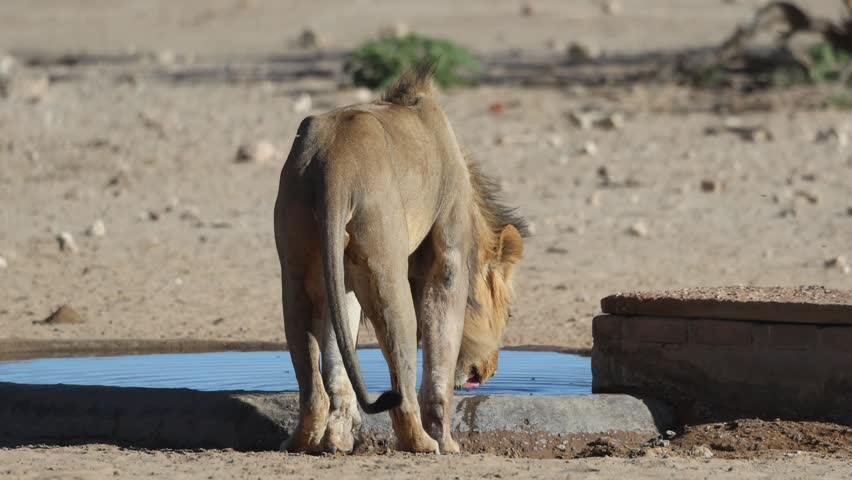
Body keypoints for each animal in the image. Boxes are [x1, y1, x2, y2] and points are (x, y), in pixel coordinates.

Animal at [273, 63, 528, 454]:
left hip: (298, 258)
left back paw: (302, 439)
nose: (486, 373)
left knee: (313, 383)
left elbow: (337, 356)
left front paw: (338, 437)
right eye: (510, 314)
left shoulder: (343, 275)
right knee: (403, 379)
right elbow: (440, 354)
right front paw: (448, 442)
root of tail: (334, 164)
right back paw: (422, 442)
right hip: (386, 267)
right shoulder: (449, 248)